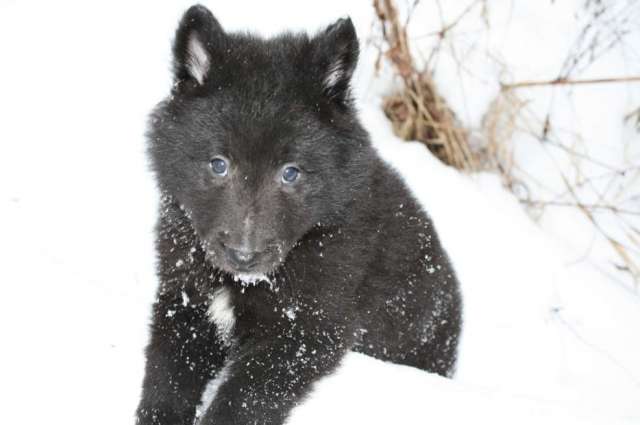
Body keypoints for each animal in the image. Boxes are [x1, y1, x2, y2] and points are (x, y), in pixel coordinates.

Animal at [138, 4, 462, 424]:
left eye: (290, 172)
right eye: (219, 164)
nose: (244, 255)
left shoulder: (304, 333)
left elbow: (244, 398)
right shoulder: (184, 301)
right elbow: (166, 378)